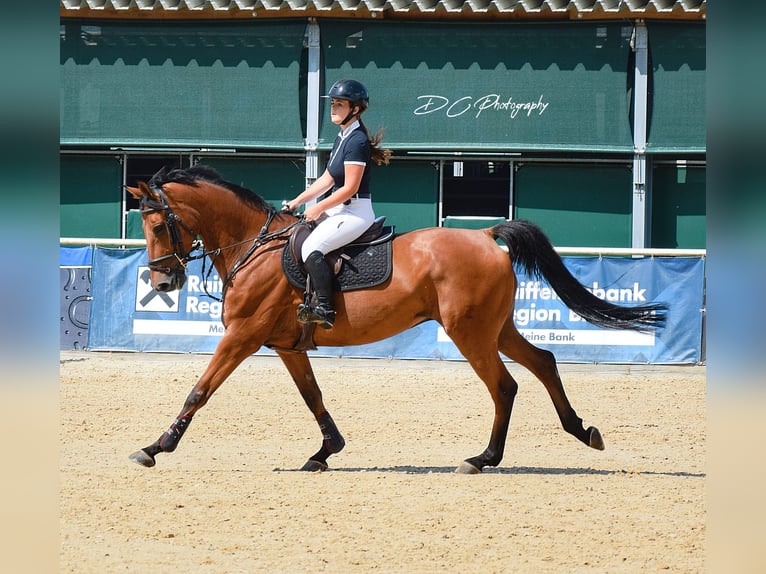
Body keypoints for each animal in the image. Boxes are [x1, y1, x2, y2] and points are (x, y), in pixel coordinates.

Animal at [126, 164, 666, 474]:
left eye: (158, 226)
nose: (163, 283)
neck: (252, 246)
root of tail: (485, 234)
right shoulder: (285, 344)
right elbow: (313, 396)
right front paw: (326, 451)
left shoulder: (242, 335)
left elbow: (199, 390)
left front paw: (156, 446)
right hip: (496, 328)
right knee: (544, 361)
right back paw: (581, 430)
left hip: (470, 332)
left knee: (505, 385)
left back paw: (483, 459)